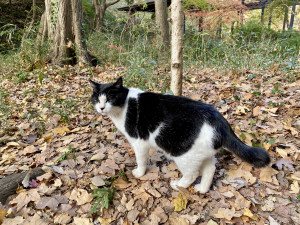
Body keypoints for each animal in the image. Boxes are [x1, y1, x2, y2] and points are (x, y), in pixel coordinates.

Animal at [89, 77, 270, 193]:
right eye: (97, 99)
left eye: (110, 98)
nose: (101, 108)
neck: (124, 105)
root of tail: (219, 119)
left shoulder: (139, 142)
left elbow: (141, 160)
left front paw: (139, 173)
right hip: (200, 152)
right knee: (210, 168)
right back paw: (202, 189)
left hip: (183, 154)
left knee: (192, 174)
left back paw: (178, 185)